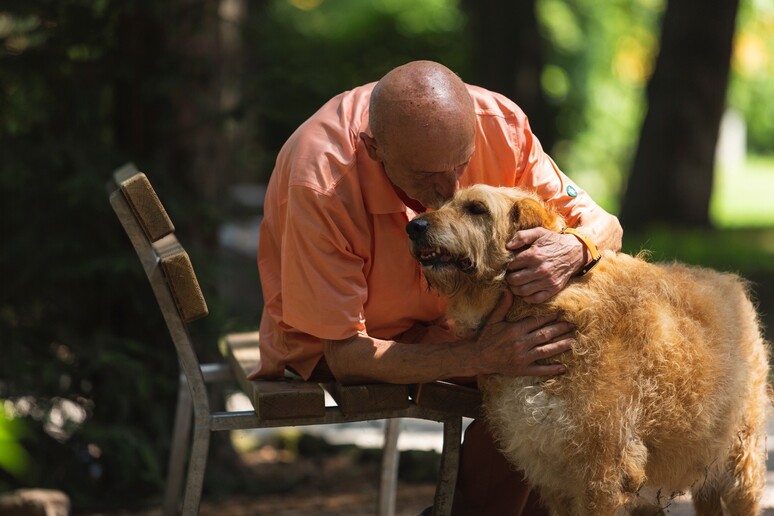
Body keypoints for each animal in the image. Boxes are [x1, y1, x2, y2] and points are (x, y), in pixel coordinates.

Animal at [406, 185, 768, 516]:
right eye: (443, 203)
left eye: (477, 209)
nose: (414, 226)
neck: (542, 304)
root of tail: (731, 281)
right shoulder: (551, 475)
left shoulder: (603, 475)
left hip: (740, 468)